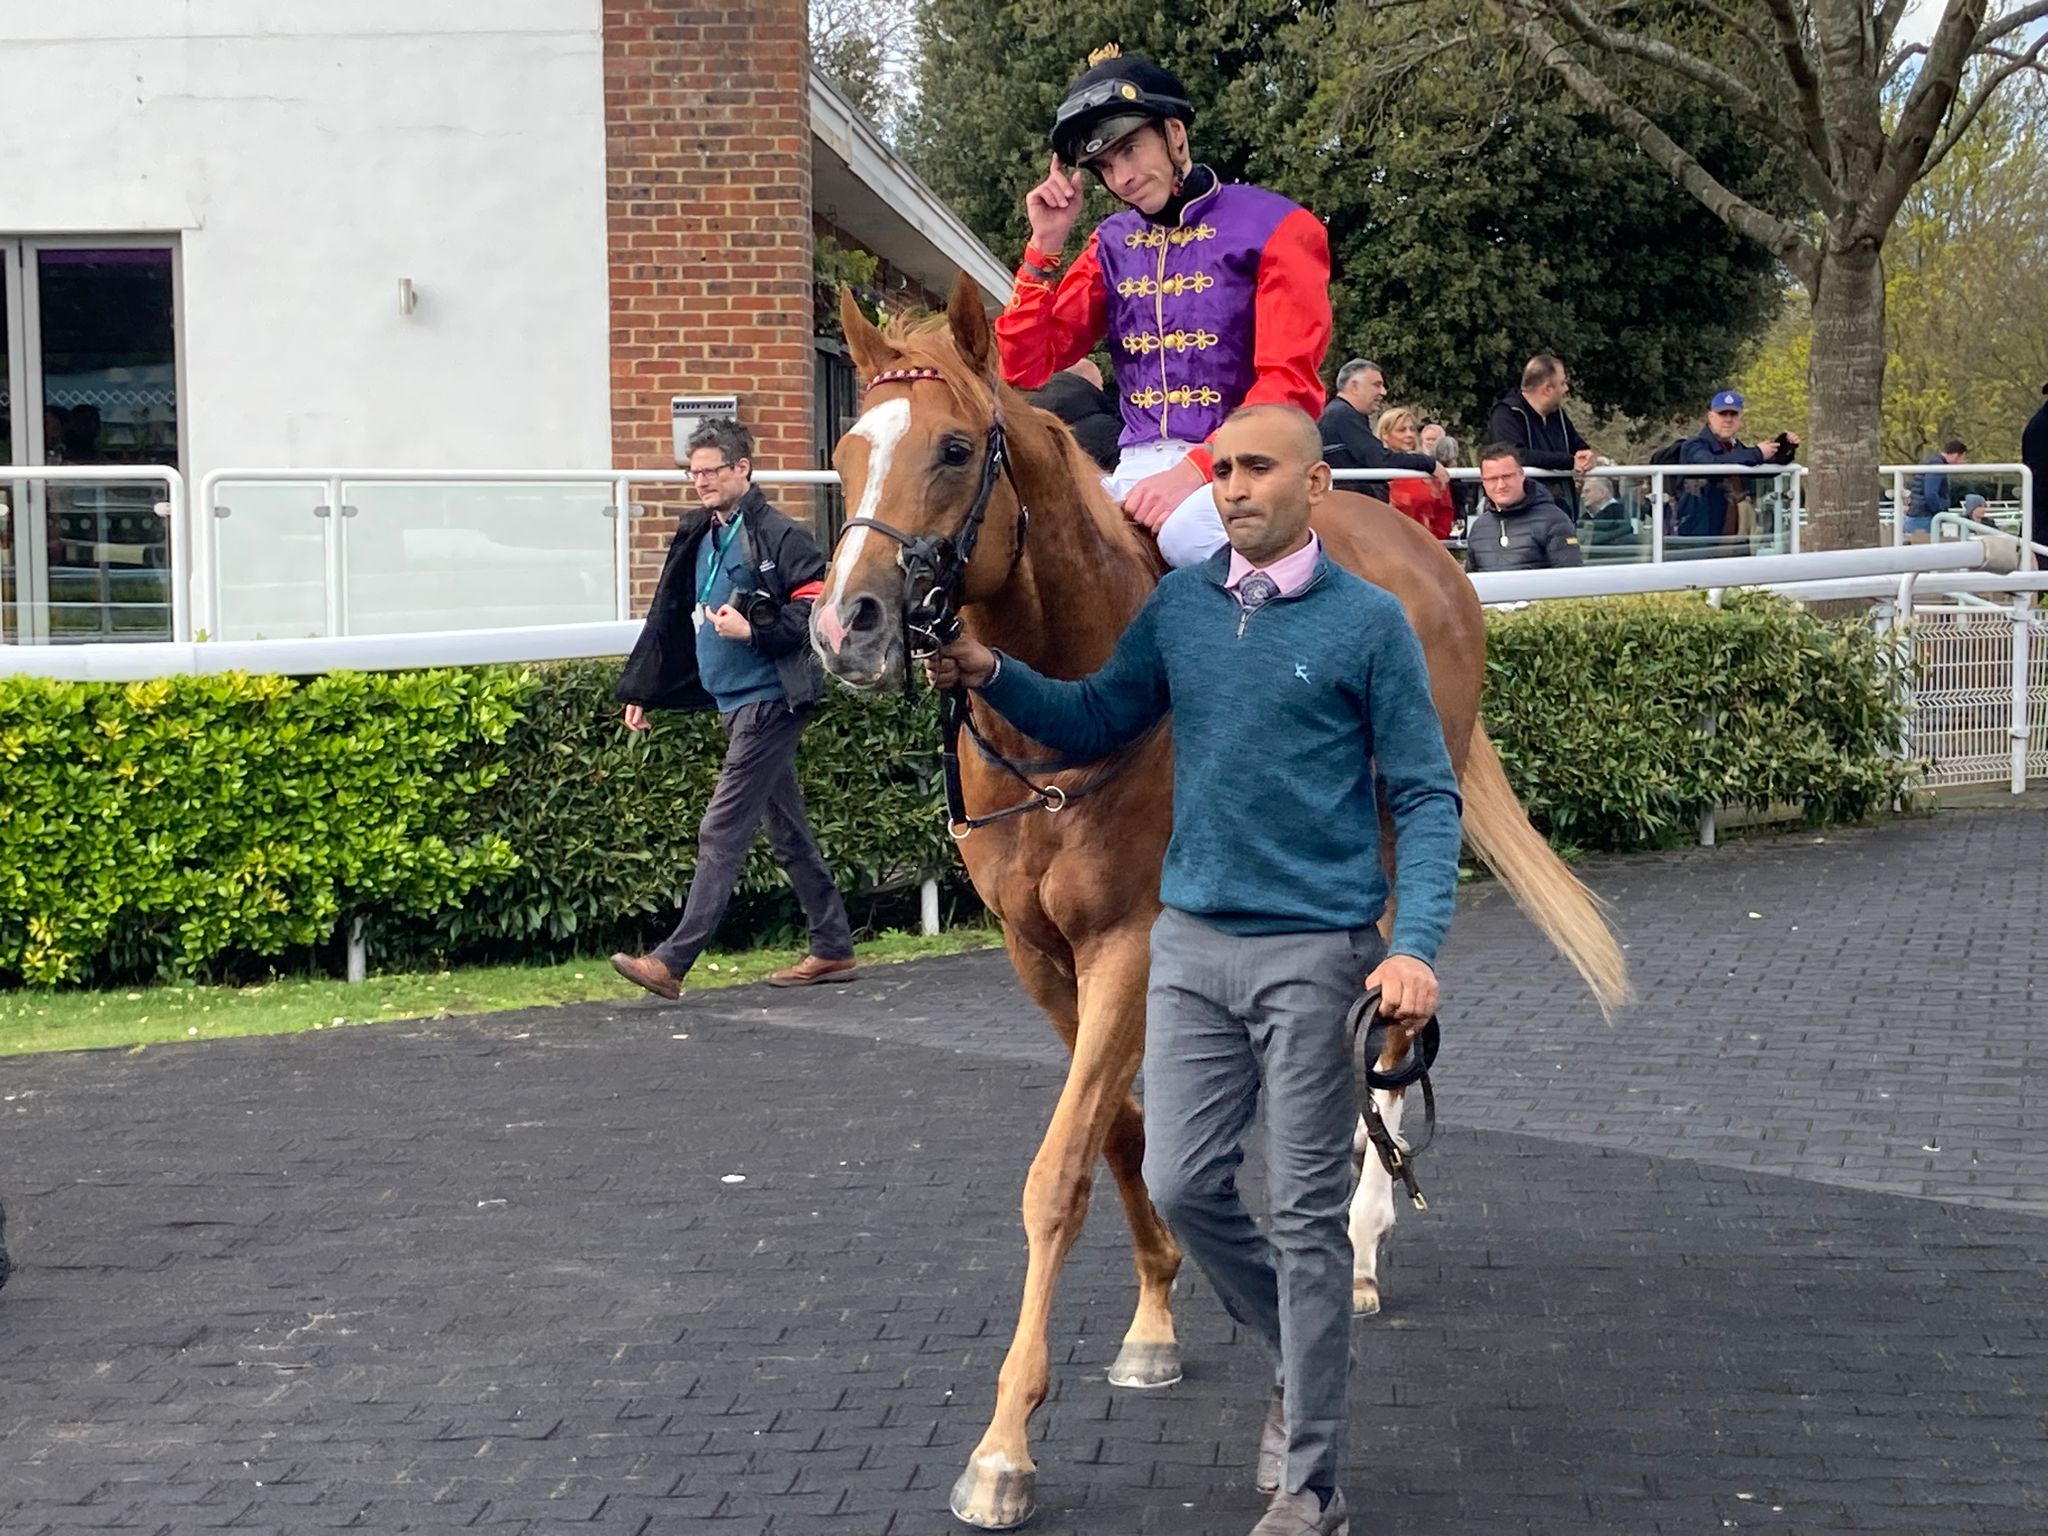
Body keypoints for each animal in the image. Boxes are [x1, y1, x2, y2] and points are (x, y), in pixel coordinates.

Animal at [806, 282, 1622, 1531]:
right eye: (849, 450)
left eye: (949, 449)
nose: (842, 624)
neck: (1074, 697)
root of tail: (1424, 552)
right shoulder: (1038, 953)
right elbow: (1120, 1132)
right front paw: (1153, 1315)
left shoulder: (1130, 942)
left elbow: (1056, 1174)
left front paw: (1003, 1446)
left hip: (1388, 852)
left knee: (1386, 1031)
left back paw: (1360, 1239)